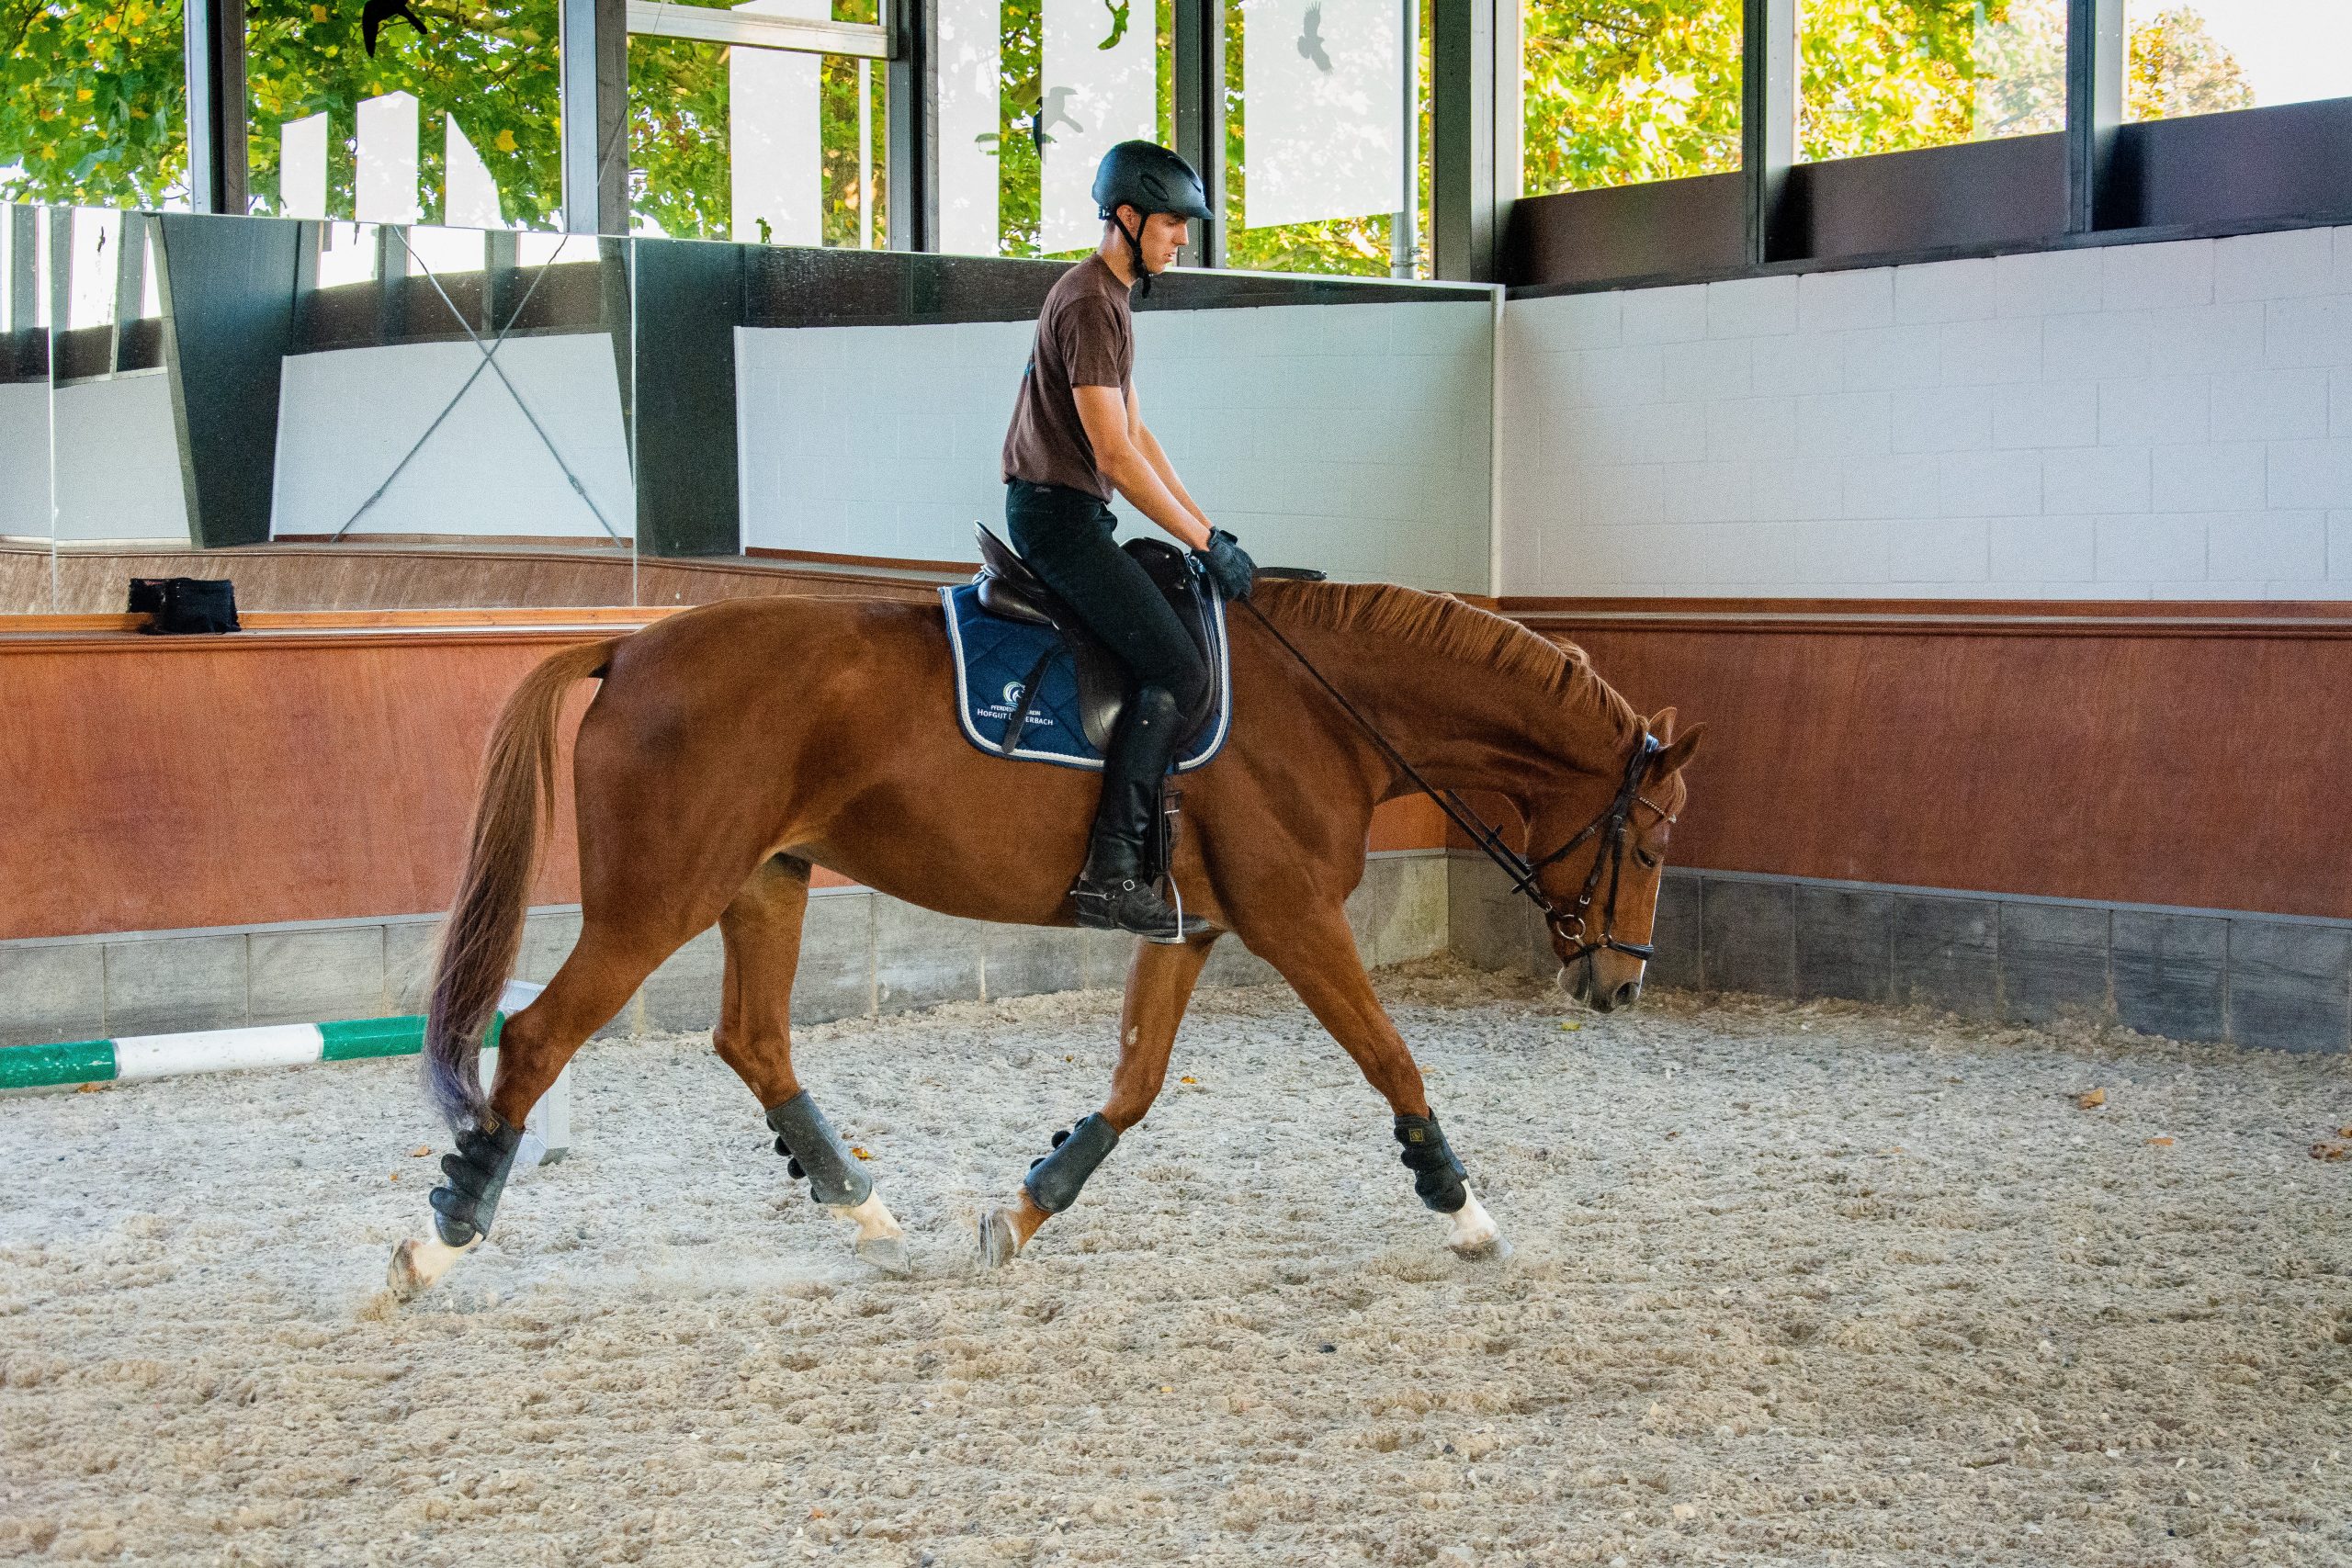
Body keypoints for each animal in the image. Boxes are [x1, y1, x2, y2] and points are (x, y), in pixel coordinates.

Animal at [388, 579, 1701, 1295]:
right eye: (1648, 845)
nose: (1620, 987)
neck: (1328, 712)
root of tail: (631, 645)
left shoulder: (1192, 927)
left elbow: (1133, 1084)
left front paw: (1021, 1211)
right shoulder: (1293, 918)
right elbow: (1392, 1057)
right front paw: (1464, 1212)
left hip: (765, 881)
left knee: (753, 1043)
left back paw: (866, 1211)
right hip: (659, 898)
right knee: (539, 1038)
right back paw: (439, 1245)